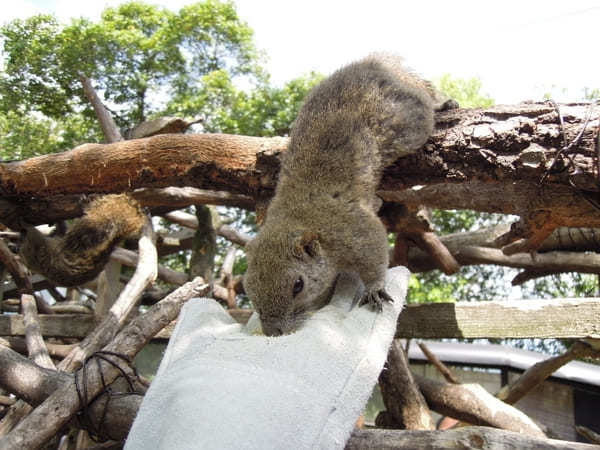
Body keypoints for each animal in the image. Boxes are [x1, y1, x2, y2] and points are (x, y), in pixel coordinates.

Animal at [243, 54, 440, 336]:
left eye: (298, 285)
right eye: (248, 289)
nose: (273, 332)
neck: (295, 218)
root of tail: (375, 63)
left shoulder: (353, 229)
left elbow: (375, 252)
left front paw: (375, 288)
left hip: (410, 118)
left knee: (427, 101)